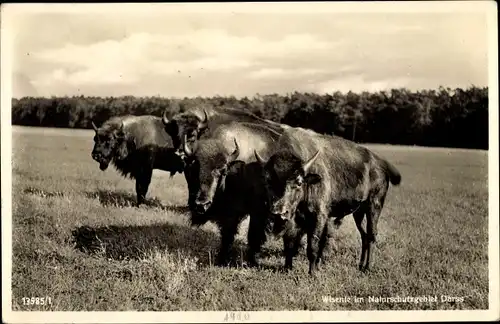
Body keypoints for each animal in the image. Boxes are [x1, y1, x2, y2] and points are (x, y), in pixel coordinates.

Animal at [254, 126, 402, 276]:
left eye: (299, 182)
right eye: (267, 182)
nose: (279, 213)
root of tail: (380, 163)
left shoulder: (319, 216)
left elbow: (313, 245)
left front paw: (312, 273)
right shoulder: (294, 221)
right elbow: (289, 243)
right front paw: (287, 268)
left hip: (374, 206)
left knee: (372, 235)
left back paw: (367, 267)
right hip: (358, 213)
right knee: (364, 236)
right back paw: (360, 265)